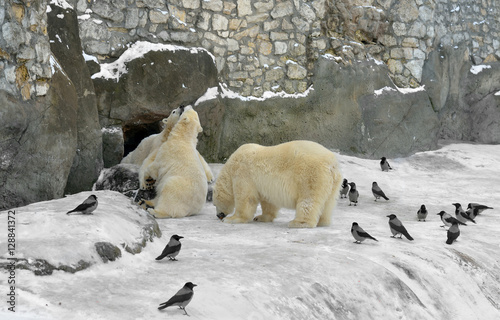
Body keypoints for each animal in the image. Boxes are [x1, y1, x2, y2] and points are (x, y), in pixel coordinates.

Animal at [213, 140, 342, 228]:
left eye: (214, 204)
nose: (219, 215)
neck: (230, 166)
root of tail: (332, 164)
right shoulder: (265, 185)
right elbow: (269, 202)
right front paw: (260, 217)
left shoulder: (243, 172)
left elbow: (246, 198)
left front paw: (232, 219)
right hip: (333, 183)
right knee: (328, 203)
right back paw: (323, 221)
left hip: (309, 175)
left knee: (309, 199)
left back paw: (299, 222)